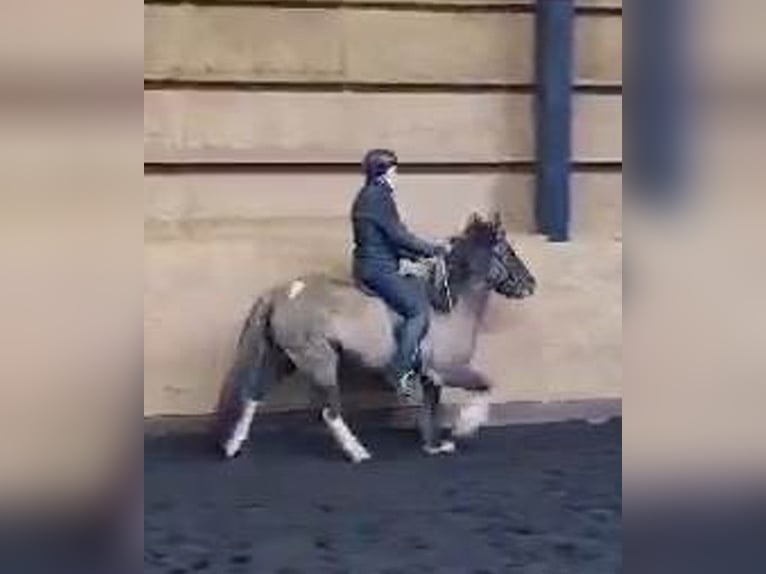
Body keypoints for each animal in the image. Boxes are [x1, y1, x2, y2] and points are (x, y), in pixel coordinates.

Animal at [219, 214, 536, 466]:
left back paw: (233, 446)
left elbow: (430, 409)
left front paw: (434, 445)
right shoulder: (446, 369)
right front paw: (465, 426)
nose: (530, 284)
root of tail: (282, 293)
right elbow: (486, 386)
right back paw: (358, 452)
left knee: (253, 394)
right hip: (320, 361)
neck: (449, 303)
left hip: (284, 358)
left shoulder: (430, 376)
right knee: (330, 412)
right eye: (507, 252)